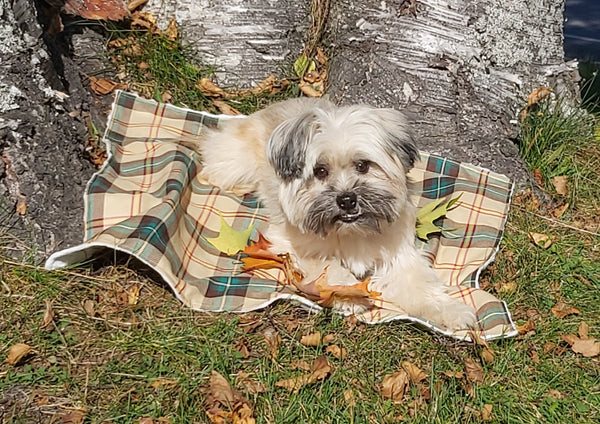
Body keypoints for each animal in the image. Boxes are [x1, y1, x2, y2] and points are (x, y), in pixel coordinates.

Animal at [192, 97, 474, 330]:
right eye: (320, 171)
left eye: (363, 165)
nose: (347, 200)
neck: (351, 230)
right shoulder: (290, 245)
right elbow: (332, 268)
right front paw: (350, 294)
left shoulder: (398, 255)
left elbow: (421, 286)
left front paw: (450, 311)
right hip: (233, 164)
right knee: (210, 168)